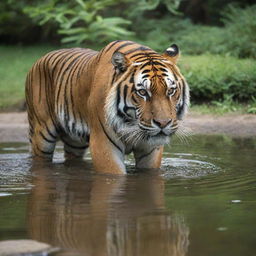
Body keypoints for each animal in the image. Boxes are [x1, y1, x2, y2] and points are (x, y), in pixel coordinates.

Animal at [26, 40, 189, 174]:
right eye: (142, 92)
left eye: (170, 91)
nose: (163, 123)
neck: (130, 124)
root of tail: (39, 60)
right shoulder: (104, 144)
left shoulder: (151, 150)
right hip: (42, 135)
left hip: (75, 142)